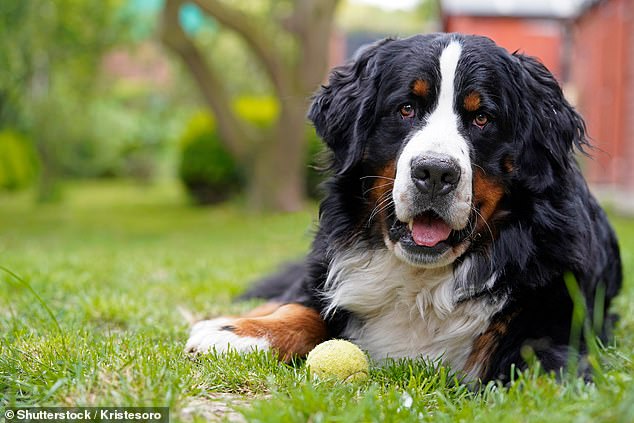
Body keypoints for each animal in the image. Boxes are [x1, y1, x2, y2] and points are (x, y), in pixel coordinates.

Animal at [185, 33, 620, 384]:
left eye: (482, 118)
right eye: (406, 109)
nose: (435, 172)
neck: (422, 284)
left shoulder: (557, 317)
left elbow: (542, 363)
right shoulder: (326, 276)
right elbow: (303, 309)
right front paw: (236, 335)